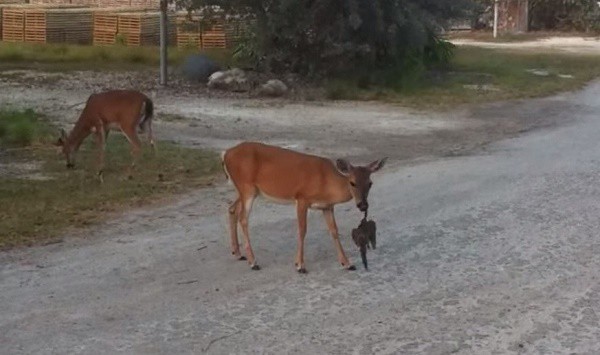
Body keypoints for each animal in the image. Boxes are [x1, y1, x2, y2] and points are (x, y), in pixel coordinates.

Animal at [223, 141, 386, 272]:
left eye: (370, 183)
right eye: (352, 182)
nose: (363, 205)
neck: (326, 183)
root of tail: (226, 154)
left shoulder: (327, 206)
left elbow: (334, 231)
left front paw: (347, 264)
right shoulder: (302, 198)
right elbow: (302, 230)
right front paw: (300, 265)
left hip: (246, 190)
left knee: (232, 209)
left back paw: (238, 254)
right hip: (247, 187)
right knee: (243, 218)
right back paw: (253, 262)